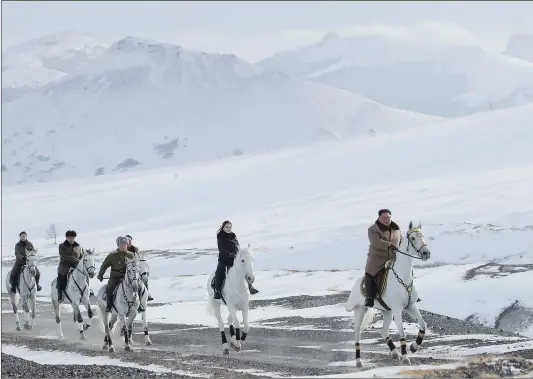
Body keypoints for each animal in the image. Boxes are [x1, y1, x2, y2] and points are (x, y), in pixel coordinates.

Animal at [344, 223, 432, 368]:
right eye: (413, 238)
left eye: (422, 235)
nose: (426, 253)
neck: (403, 277)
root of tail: (357, 282)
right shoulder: (397, 309)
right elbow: (402, 332)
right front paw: (406, 357)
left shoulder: (411, 306)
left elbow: (423, 325)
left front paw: (413, 347)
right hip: (361, 310)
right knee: (357, 332)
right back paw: (359, 361)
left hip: (387, 312)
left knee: (384, 331)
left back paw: (395, 352)